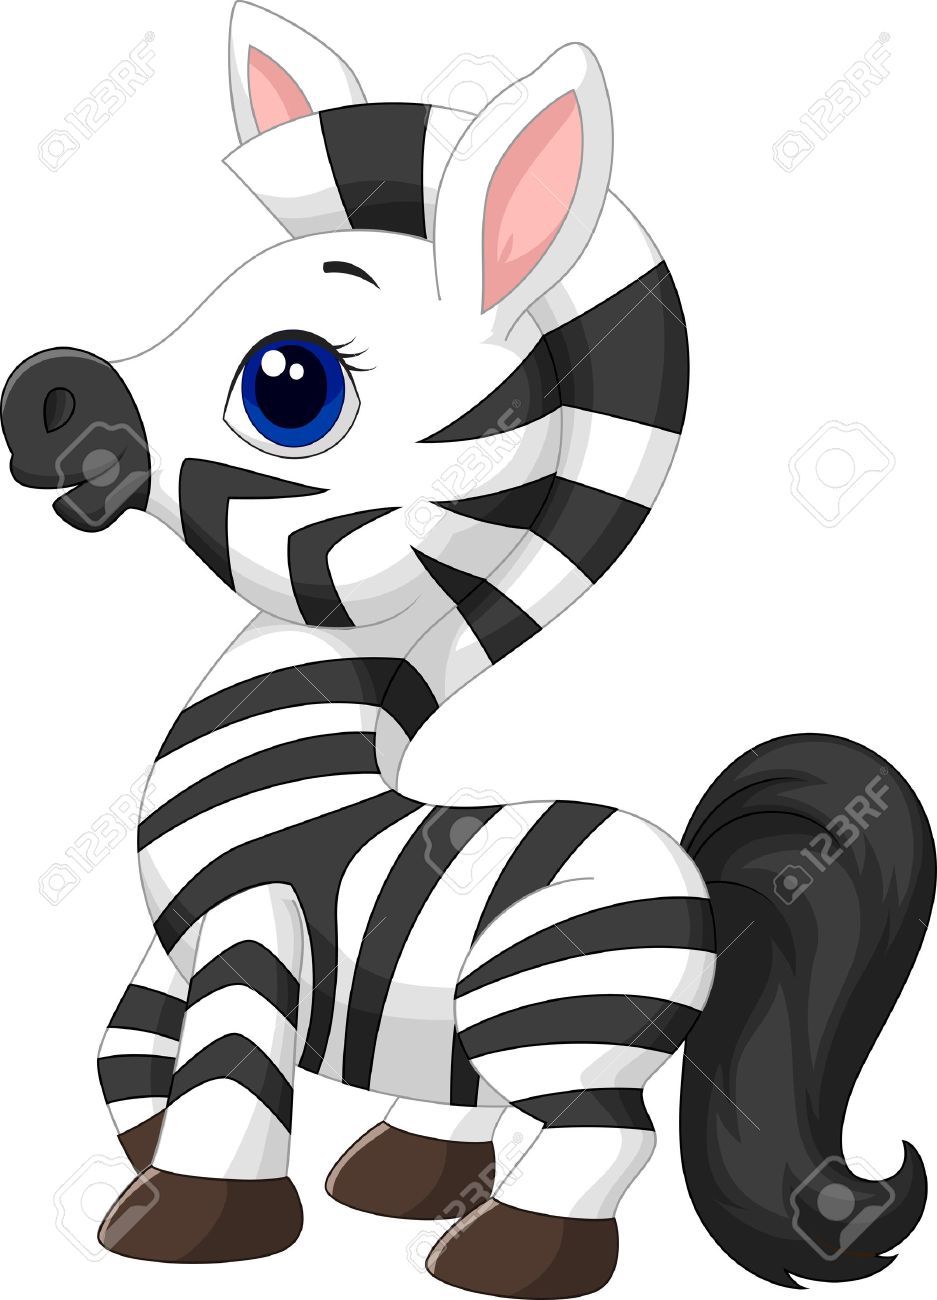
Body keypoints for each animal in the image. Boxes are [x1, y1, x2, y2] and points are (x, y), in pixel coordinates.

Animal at [2, 4, 933, 1295]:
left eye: (289, 382)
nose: (40, 394)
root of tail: (700, 873)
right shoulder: (180, 941)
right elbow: (125, 1053)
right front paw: (147, 1172)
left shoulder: (252, 927)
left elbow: (225, 1080)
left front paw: (191, 1223)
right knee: (476, 1105)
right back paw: (404, 1181)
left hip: (545, 1007)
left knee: (607, 1135)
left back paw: (506, 1251)